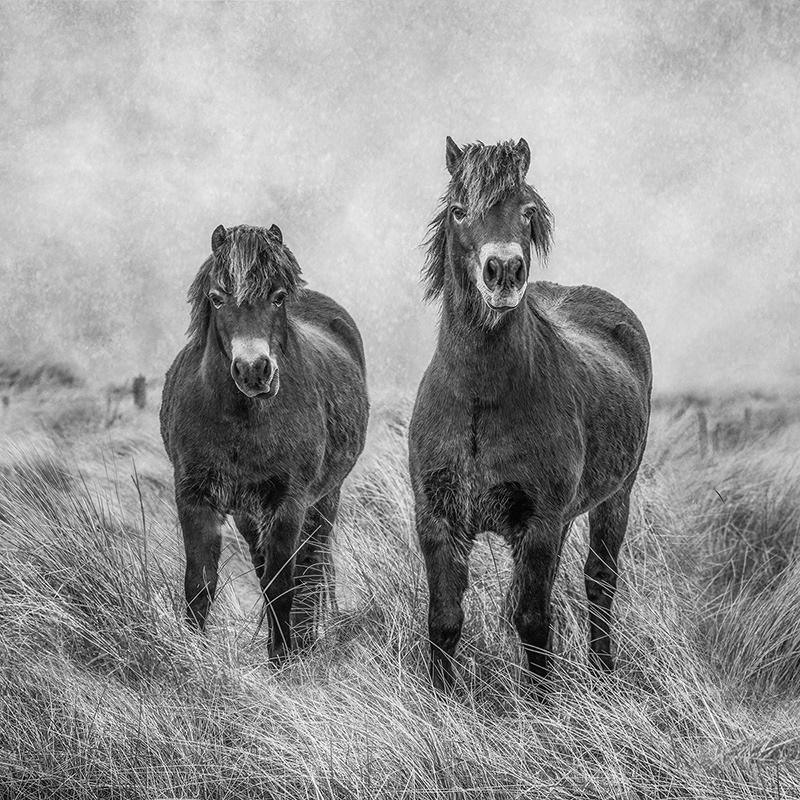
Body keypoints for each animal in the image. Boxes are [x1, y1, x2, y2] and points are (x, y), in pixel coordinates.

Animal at [160, 223, 369, 659]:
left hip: (325, 499)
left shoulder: (287, 504)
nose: (254, 371)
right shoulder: (194, 498)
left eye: (278, 297)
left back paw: (304, 640)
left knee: (311, 565)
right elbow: (200, 585)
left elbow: (281, 589)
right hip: (248, 513)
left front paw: (283, 662)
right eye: (217, 298)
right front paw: (192, 657)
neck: (240, 421)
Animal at [408, 138, 652, 693]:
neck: (480, 400)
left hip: (616, 498)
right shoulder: (437, 520)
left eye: (527, 211)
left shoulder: (539, 524)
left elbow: (533, 621)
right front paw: (438, 700)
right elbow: (444, 619)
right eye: (459, 210)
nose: (504, 272)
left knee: (599, 584)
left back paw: (603, 672)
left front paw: (542, 705)